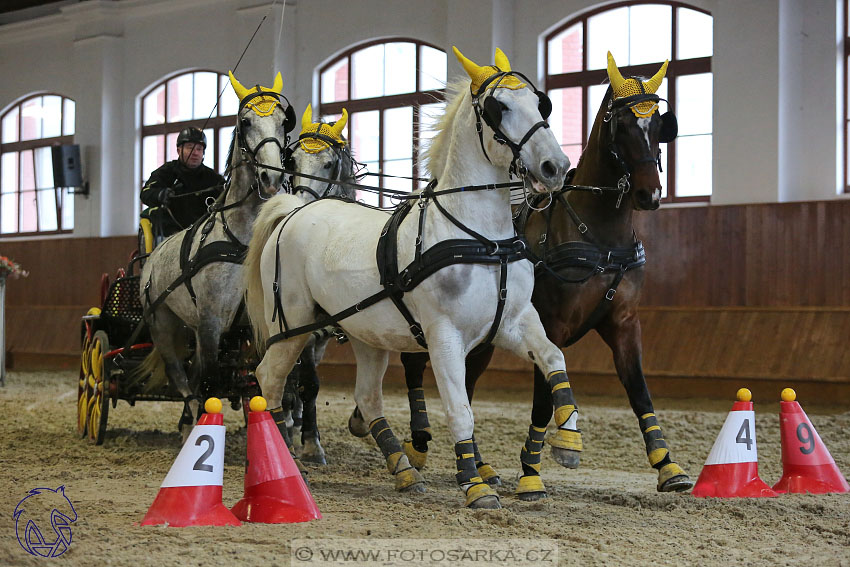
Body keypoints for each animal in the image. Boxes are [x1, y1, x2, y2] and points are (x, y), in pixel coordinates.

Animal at [139, 71, 294, 434]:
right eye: (245, 121)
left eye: (284, 121)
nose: (271, 177)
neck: (242, 243)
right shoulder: (210, 323)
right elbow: (210, 385)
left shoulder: (254, 326)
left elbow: (264, 383)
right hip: (163, 324)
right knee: (182, 378)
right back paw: (188, 423)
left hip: (191, 328)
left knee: (193, 377)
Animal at [243, 48, 568, 510]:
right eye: (498, 108)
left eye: (542, 104)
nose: (555, 166)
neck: (481, 238)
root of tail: (293, 211)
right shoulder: (444, 335)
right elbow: (459, 409)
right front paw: (476, 485)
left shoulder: (511, 323)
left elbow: (554, 360)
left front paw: (568, 441)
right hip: (292, 327)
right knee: (269, 382)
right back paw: (279, 467)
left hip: (365, 333)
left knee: (367, 398)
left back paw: (403, 471)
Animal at [388, 52, 692, 496]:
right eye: (620, 126)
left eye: (658, 126)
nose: (648, 193)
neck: (596, 233)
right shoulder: (553, 323)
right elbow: (543, 399)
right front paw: (532, 470)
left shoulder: (622, 322)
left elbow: (639, 391)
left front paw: (667, 465)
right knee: (415, 368)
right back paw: (419, 445)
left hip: (482, 337)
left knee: (468, 383)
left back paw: (479, 464)